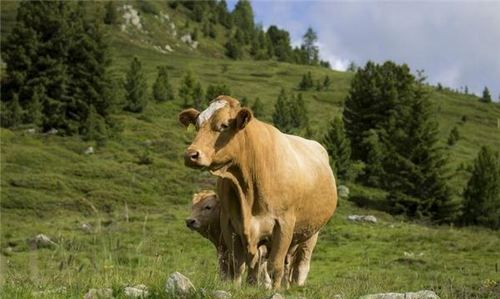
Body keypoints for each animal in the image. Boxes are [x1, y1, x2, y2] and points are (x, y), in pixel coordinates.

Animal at [180, 96, 336, 290]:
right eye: (197, 124)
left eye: (224, 125)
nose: (191, 154)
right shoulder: (230, 225)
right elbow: (239, 265)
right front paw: (240, 287)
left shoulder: (283, 225)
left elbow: (274, 266)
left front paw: (273, 290)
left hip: (312, 232)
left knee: (300, 265)